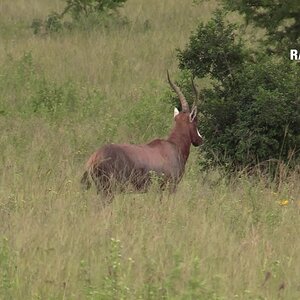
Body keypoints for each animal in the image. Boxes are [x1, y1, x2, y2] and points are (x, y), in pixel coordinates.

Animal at [81, 71, 204, 200]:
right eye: (196, 120)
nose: (200, 140)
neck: (173, 146)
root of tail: (94, 158)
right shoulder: (171, 187)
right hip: (108, 190)